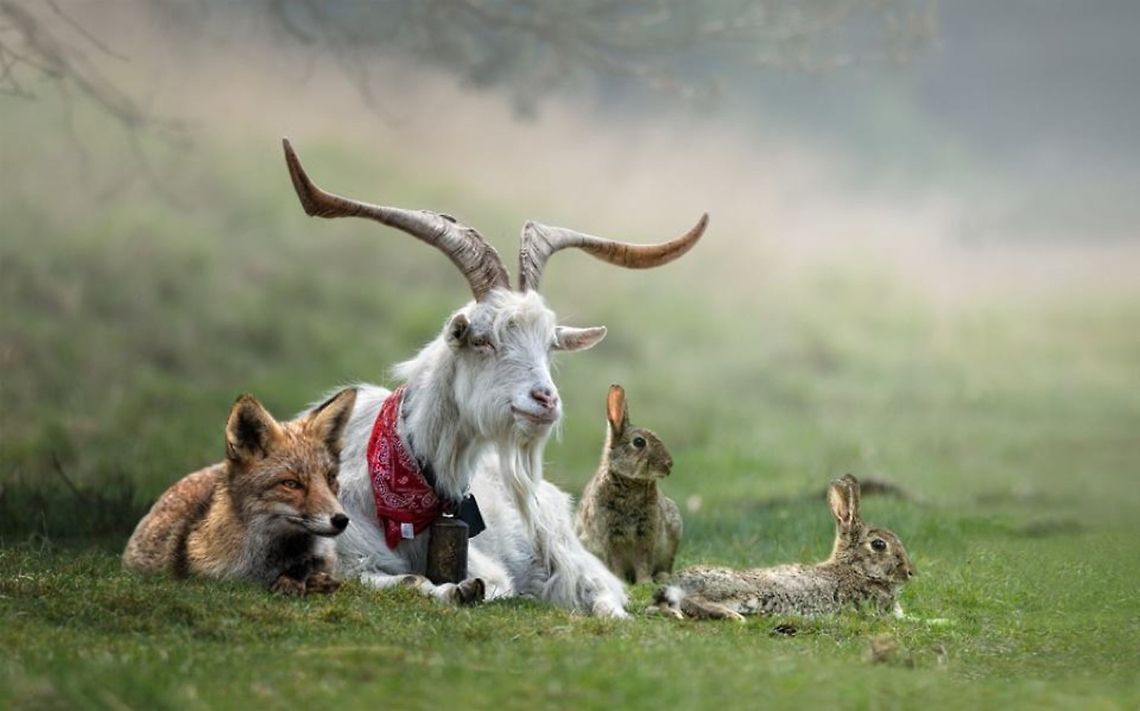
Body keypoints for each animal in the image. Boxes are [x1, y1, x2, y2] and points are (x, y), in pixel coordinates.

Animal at [122, 387, 357, 595]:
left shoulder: (325, 555)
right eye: (291, 484)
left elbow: (310, 564)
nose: (341, 520)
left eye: (330, 478)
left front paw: (303, 579)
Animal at [575, 384, 682, 584]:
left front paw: (645, 582)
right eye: (639, 442)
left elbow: (644, 560)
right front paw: (621, 581)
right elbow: (615, 561)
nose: (669, 464)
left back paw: (662, 577)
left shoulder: (646, 533)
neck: (629, 482)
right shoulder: (610, 535)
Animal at [651, 474, 913, 620]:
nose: (910, 572)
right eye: (879, 545)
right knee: (692, 601)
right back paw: (732, 616)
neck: (855, 570)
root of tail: (675, 583)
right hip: (739, 591)